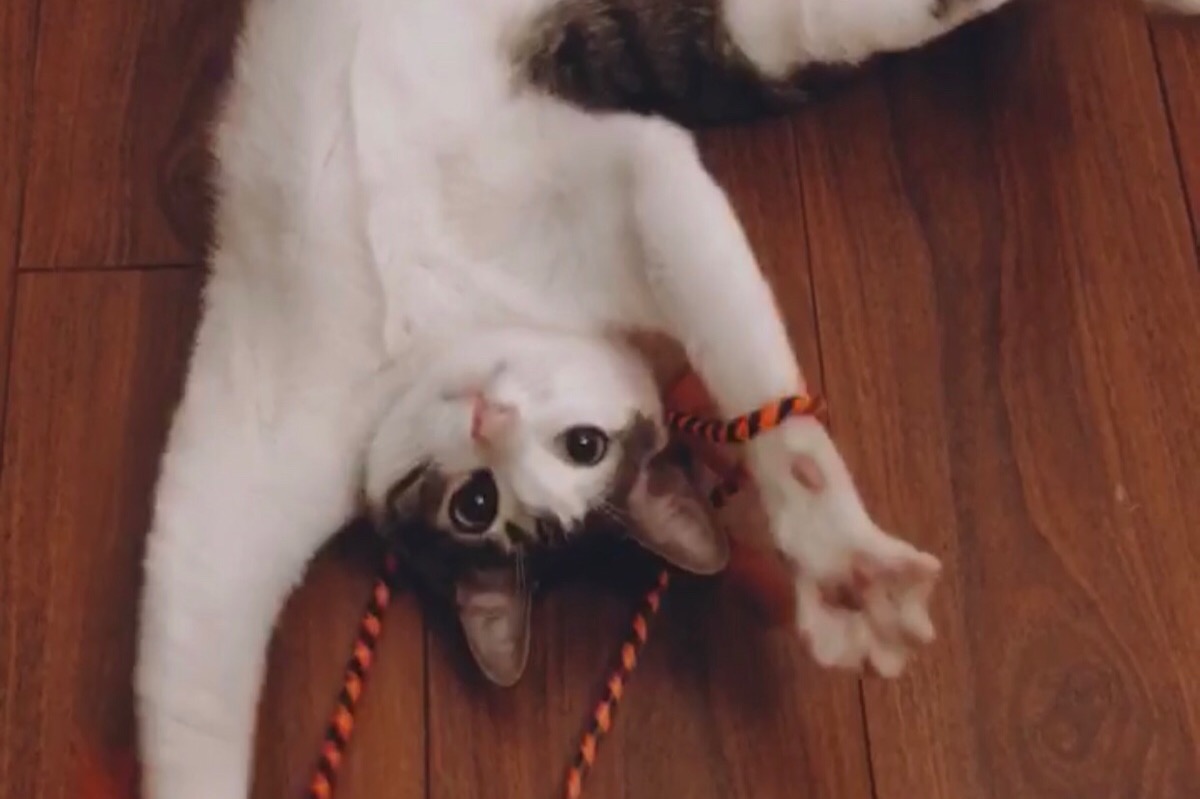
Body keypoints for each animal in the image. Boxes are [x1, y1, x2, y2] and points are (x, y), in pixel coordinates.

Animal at [135, 0, 1199, 796]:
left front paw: (834, 548)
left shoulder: (615, 188)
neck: (423, 328)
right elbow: (189, 676)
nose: (491, 416)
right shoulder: (247, 471)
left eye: (583, 446)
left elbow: (750, 374)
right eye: (477, 503)